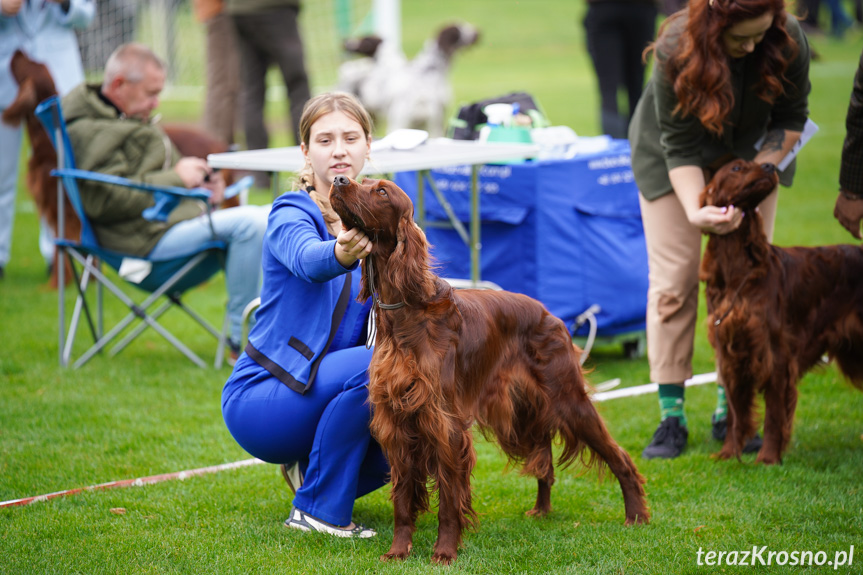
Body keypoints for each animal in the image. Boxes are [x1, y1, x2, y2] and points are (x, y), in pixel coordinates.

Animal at [330, 174, 648, 564]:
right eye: (362, 180)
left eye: (381, 191)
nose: (339, 178)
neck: (406, 314)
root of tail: (551, 314)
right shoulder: (396, 422)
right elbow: (403, 499)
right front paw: (398, 551)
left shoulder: (445, 424)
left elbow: (449, 500)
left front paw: (445, 552)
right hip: (521, 414)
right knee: (545, 463)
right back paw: (541, 511)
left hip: (568, 400)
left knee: (619, 457)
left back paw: (636, 515)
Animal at [704, 160, 863, 466]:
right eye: (737, 168)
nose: (769, 165)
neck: (739, 269)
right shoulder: (729, 353)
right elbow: (734, 414)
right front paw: (729, 453)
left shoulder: (775, 355)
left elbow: (774, 414)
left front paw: (767, 457)